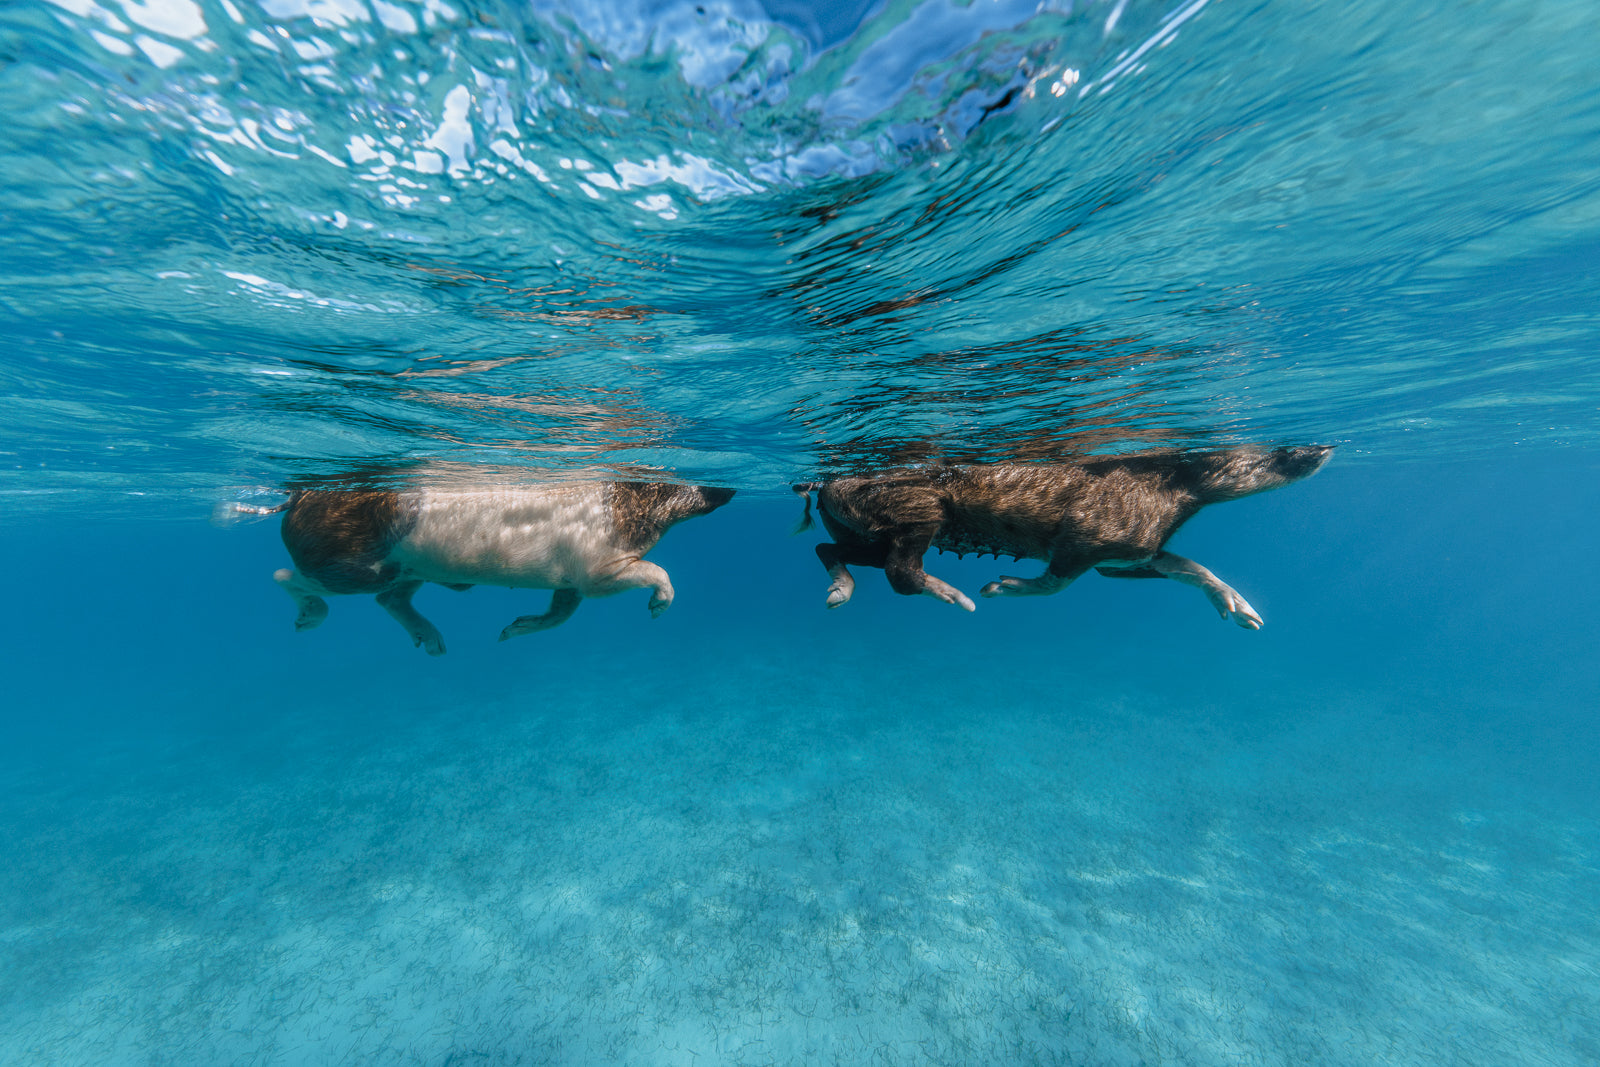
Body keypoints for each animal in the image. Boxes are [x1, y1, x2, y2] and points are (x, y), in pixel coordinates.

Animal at [792, 446, 1331, 628]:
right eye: (1277, 455)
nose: (1320, 450)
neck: (1183, 485)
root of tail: (824, 482)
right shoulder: (1087, 542)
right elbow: (1054, 583)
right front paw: (1003, 587)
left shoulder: (1129, 557)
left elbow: (1188, 566)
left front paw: (1235, 605)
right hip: (919, 510)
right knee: (901, 573)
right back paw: (954, 595)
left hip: (864, 530)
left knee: (831, 548)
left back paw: (840, 590)